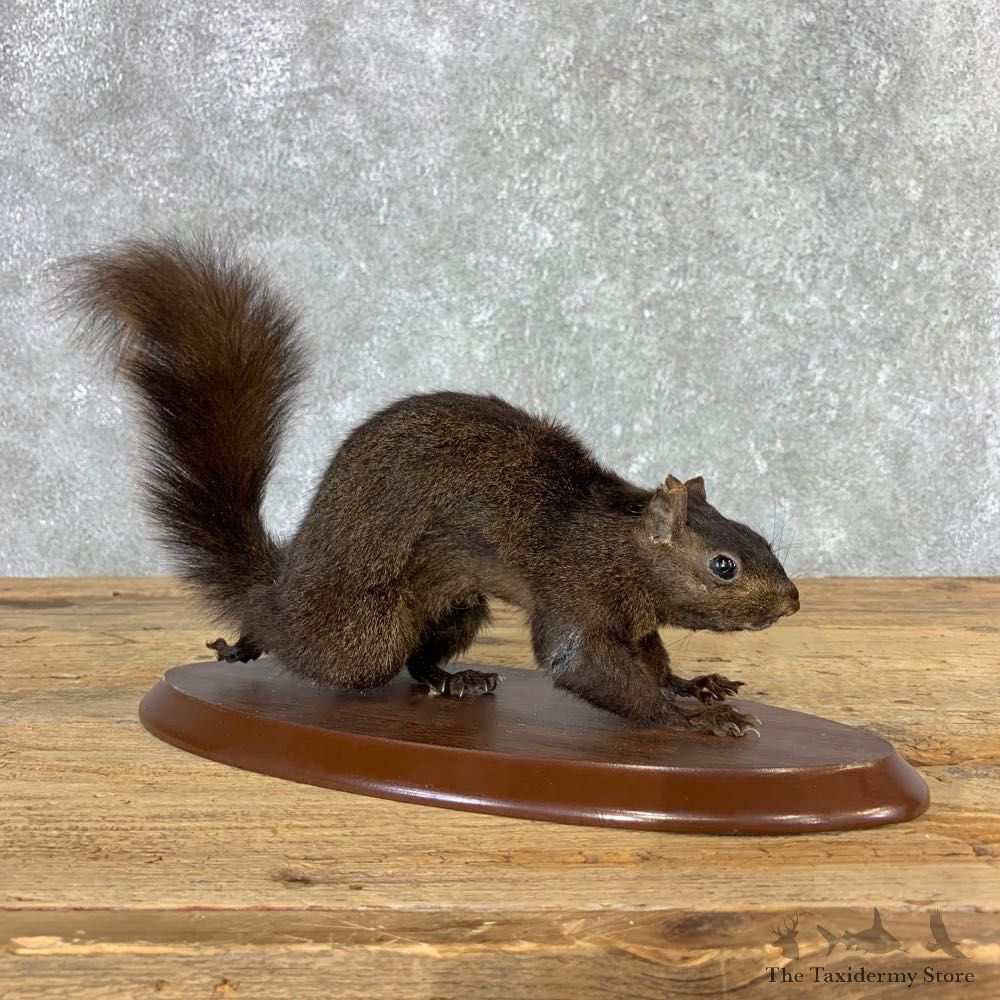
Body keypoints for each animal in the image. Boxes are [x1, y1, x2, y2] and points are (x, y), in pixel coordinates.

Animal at [66, 237, 799, 738]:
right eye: (724, 566)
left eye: (761, 537)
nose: (792, 602)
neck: (621, 545)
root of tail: (285, 584)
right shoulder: (576, 592)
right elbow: (581, 666)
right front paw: (689, 719)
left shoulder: (637, 623)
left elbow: (652, 662)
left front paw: (695, 684)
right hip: (365, 633)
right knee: (319, 648)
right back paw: (247, 641)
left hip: (457, 604)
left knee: (418, 662)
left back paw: (453, 679)